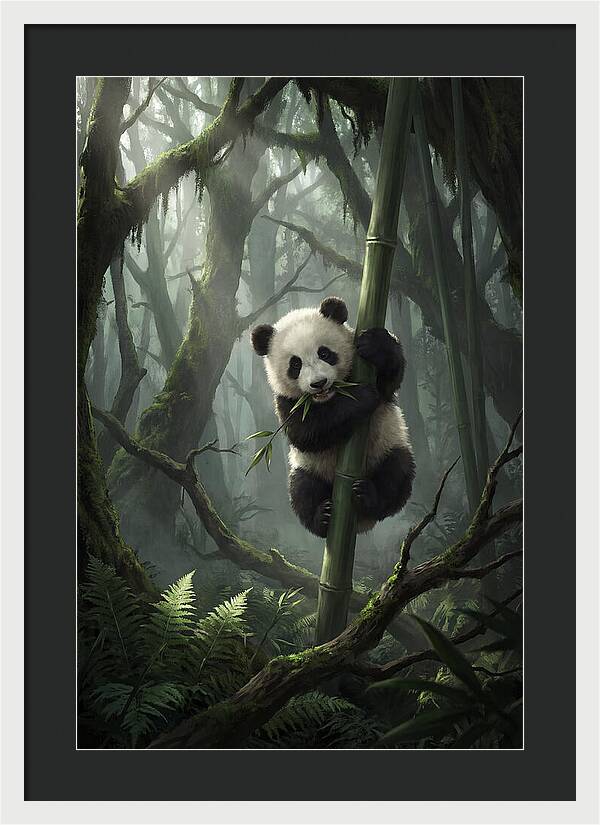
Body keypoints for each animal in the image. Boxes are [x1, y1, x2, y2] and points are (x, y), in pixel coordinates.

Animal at [251, 296, 415, 538]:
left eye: (324, 353)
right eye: (295, 364)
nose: (318, 383)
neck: (330, 397)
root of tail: (360, 524)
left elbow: (390, 380)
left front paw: (375, 345)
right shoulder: (286, 401)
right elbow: (306, 433)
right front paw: (362, 396)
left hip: (387, 446)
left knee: (396, 473)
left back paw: (368, 497)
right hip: (309, 468)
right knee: (302, 490)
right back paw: (323, 517)